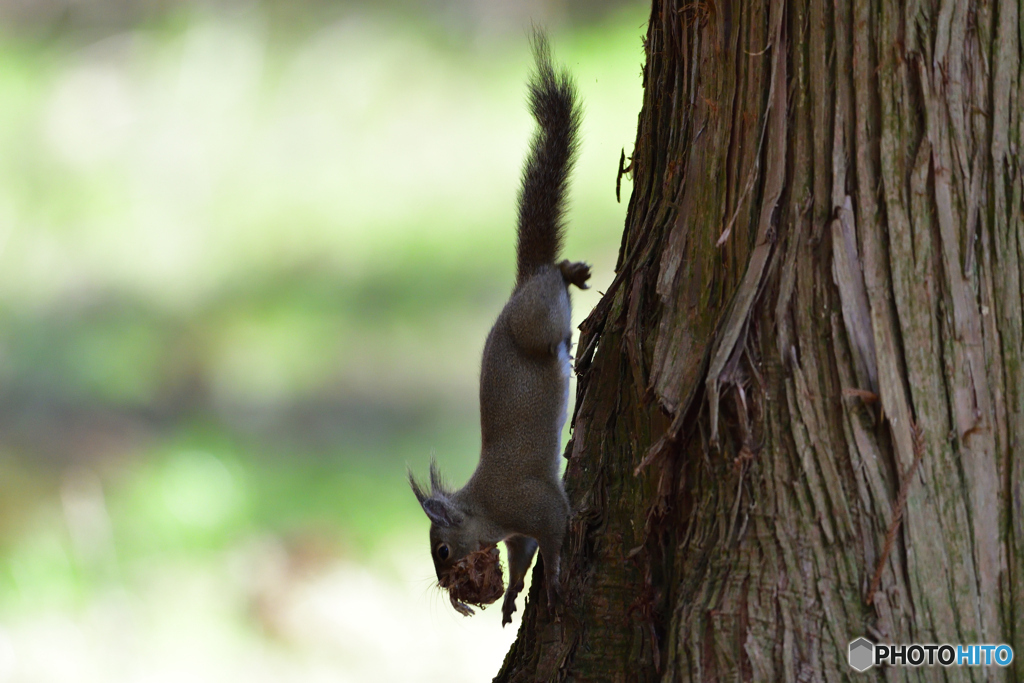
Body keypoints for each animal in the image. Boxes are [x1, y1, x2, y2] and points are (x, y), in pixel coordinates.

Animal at [405, 33, 589, 630]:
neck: (487, 506)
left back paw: (570, 273)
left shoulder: (536, 506)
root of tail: (518, 285)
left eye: (442, 550)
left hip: (533, 322)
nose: (446, 586)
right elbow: (522, 554)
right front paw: (509, 597)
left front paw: (554, 579)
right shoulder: (516, 533)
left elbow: (552, 535)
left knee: (551, 293)